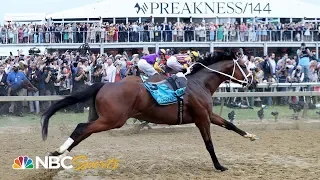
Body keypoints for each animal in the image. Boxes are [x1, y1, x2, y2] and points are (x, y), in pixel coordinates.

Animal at [41, 51, 258, 172]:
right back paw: (58, 153)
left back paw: (57, 155)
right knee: (81, 128)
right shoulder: (201, 118)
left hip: (103, 118)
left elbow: (230, 124)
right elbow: (209, 144)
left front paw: (251, 136)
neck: (199, 83)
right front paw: (219, 166)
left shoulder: (208, 115)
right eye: (244, 65)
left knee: (83, 132)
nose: (252, 81)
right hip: (113, 119)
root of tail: (105, 84)